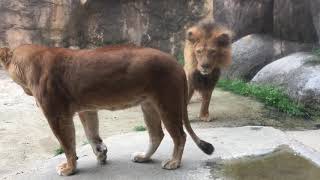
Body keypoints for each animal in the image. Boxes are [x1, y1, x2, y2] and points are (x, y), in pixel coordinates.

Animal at [0, 44, 215, 176]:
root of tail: (176, 63)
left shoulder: (56, 114)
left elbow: (68, 144)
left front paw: (69, 168)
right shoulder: (86, 109)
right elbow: (91, 134)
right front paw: (101, 153)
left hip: (167, 104)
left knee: (179, 135)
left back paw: (173, 163)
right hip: (149, 105)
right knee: (157, 134)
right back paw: (143, 157)